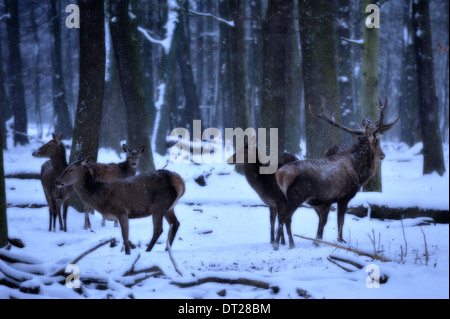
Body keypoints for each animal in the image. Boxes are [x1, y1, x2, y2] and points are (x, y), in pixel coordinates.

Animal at [55, 156, 185, 256]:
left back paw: (148, 250)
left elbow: (125, 236)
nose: (57, 181)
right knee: (176, 223)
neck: (100, 197)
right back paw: (167, 249)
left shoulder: (121, 211)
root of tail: (180, 181)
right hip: (169, 207)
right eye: (65, 167)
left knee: (158, 229)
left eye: (71, 169)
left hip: (159, 205)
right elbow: (125, 236)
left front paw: (128, 253)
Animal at [272, 96, 400, 251]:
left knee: (285, 218)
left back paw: (290, 244)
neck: (358, 171)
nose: (382, 155)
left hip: (285, 196)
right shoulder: (343, 196)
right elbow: (340, 221)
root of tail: (280, 175)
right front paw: (339, 241)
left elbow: (326, 222)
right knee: (284, 217)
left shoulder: (325, 201)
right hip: (296, 196)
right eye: (376, 141)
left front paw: (320, 241)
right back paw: (277, 245)